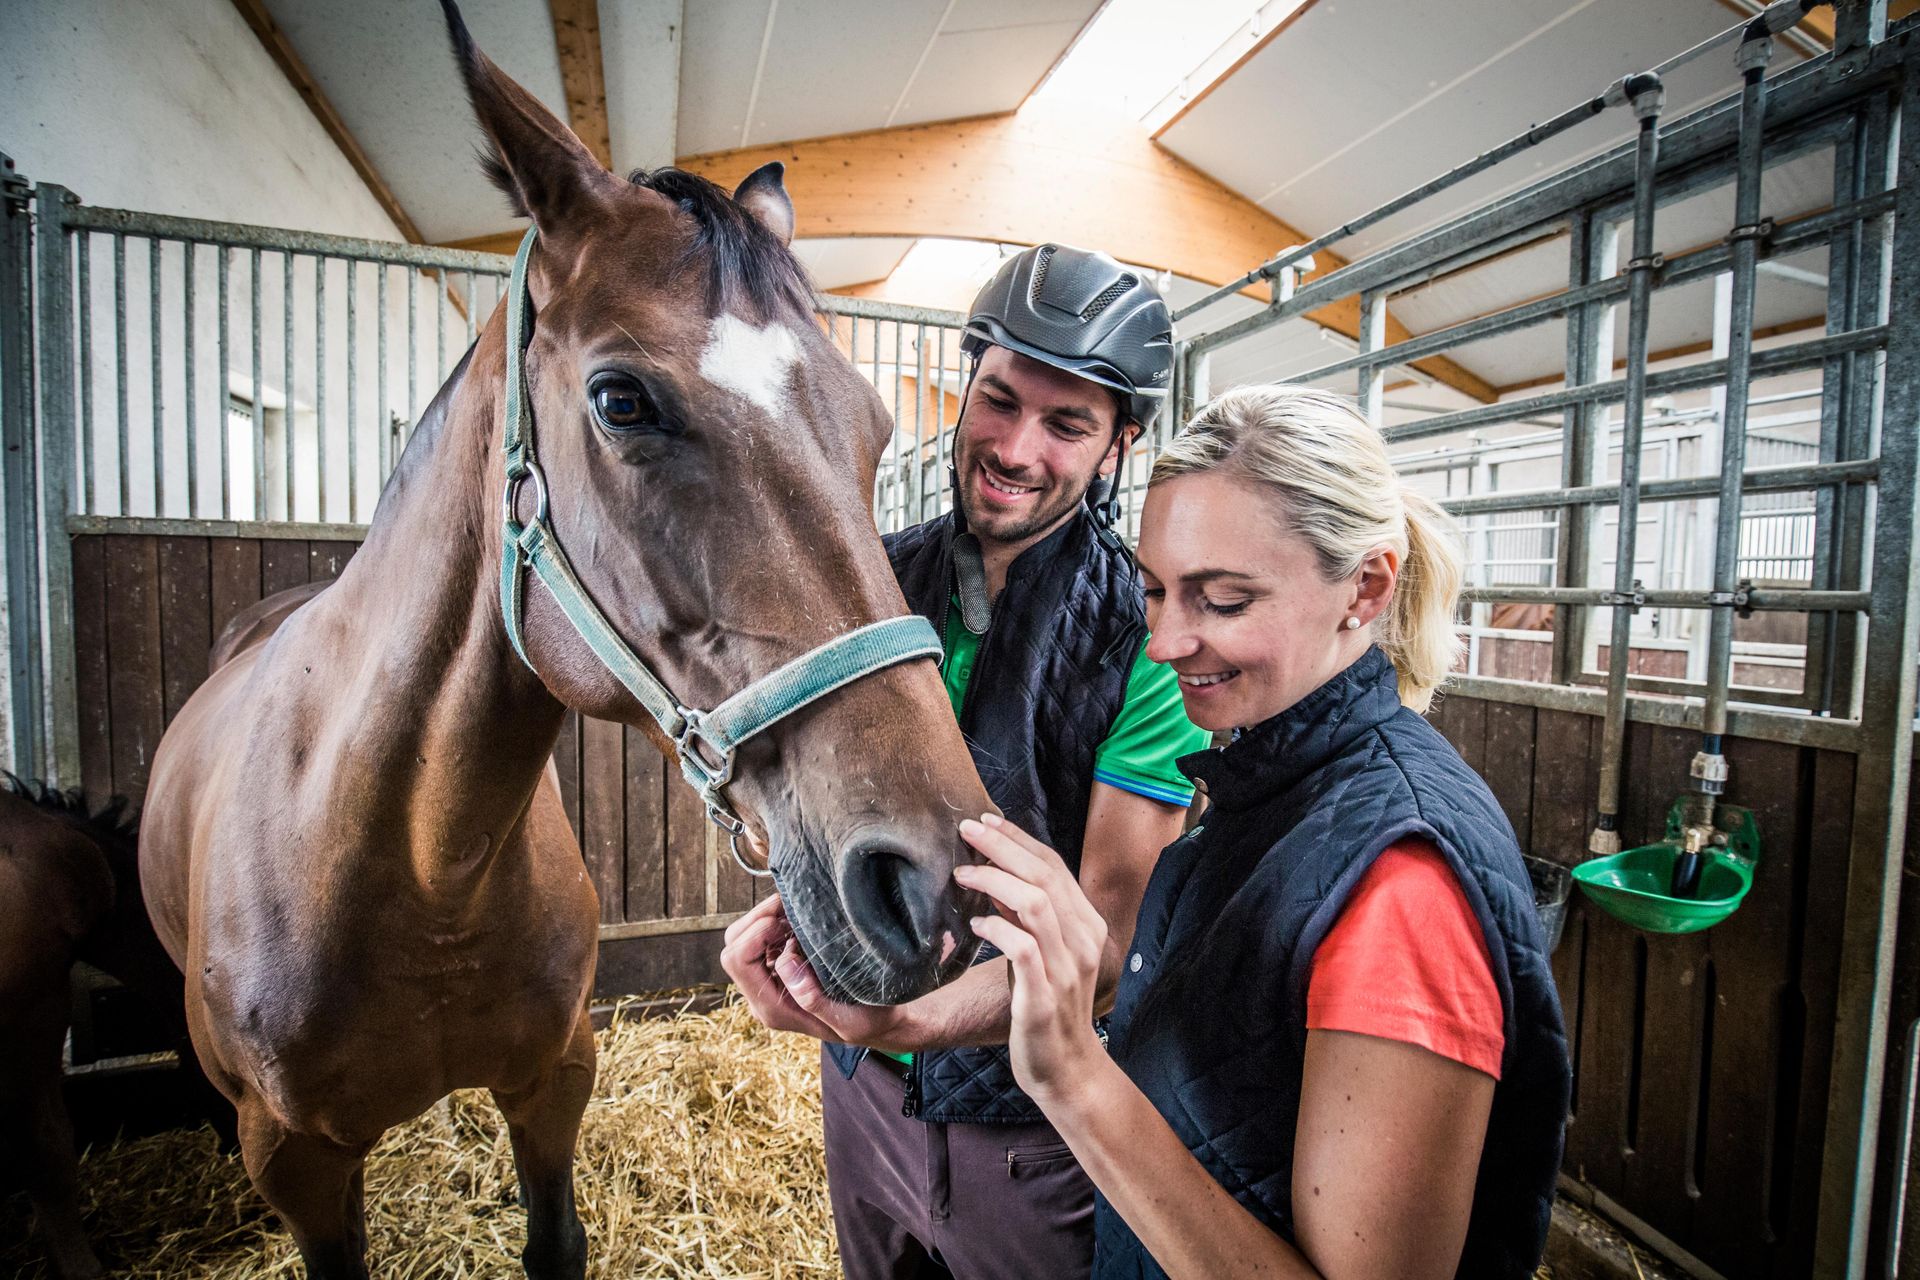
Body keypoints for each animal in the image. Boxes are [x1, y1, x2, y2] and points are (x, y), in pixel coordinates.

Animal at [139, 5, 990, 1274]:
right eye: (622, 399)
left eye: (878, 424)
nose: (934, 883)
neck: (420, 863)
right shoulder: (291, 1158)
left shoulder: (556, 1076)